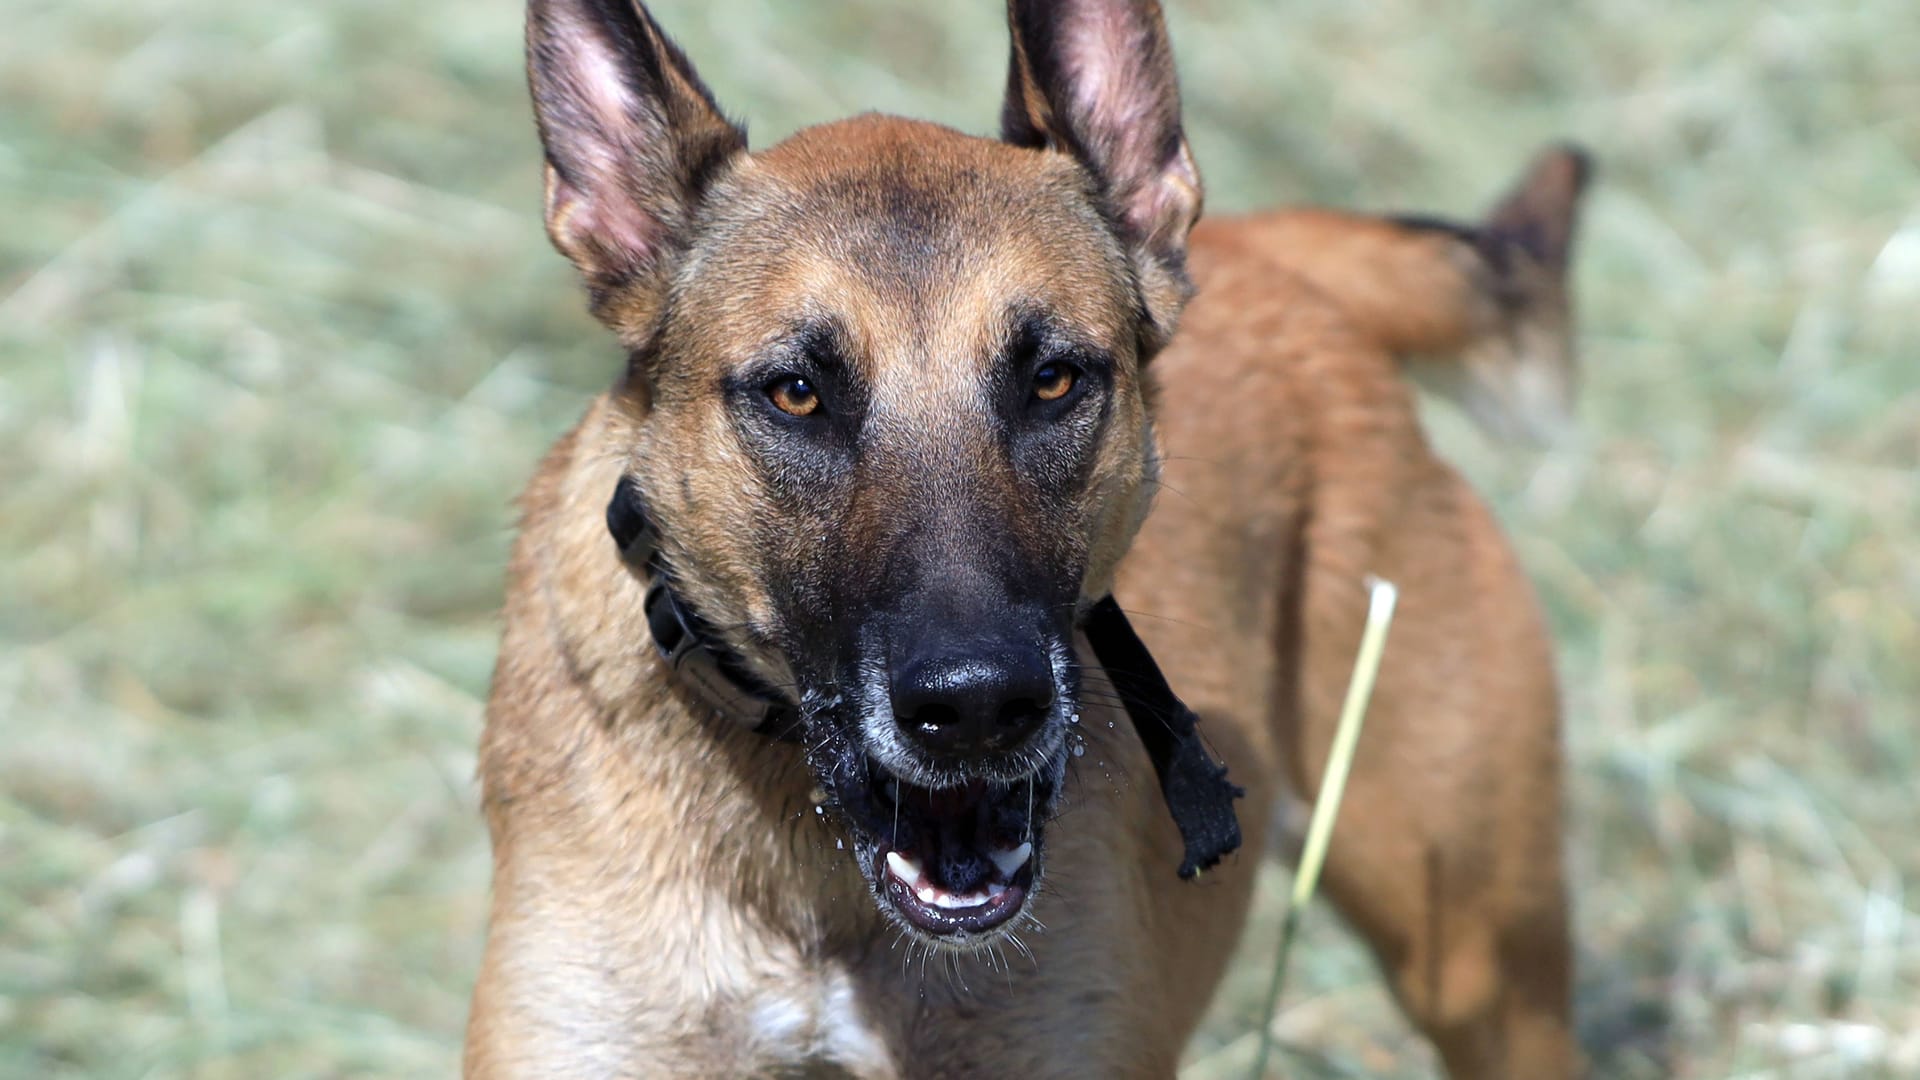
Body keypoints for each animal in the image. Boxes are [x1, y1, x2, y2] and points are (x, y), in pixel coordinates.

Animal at [464, 4, 1589, 1068]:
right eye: (796, 393)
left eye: (1052, 380)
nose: (976, 710)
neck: (819, 889)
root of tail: (1263, 253)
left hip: (1482, 973)